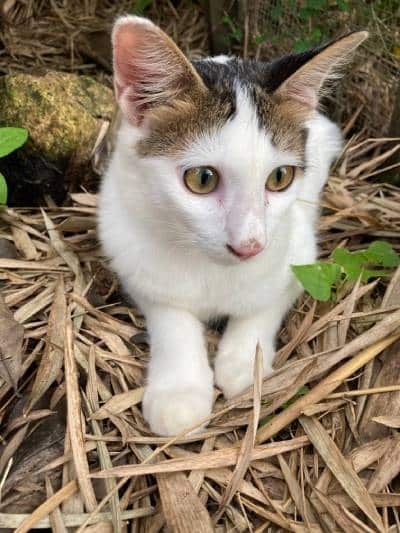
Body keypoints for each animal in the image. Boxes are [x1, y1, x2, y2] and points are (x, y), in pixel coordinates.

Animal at [98, 14, 368, 434]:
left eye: (280, 178)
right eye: (202, 179)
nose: (249, 245)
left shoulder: (299, 256)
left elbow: (265, 305)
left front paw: (245, 366)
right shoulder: (130, 255)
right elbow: (170, 315)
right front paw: (180, 391)